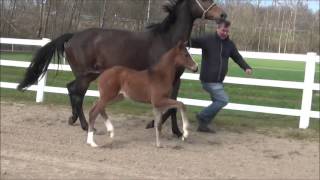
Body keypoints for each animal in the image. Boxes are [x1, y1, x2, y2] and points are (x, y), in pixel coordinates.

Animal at [17, 0, 226, 136]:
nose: (223, 15)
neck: (167, 40)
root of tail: (72, 36)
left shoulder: (176, 80)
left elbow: (173, 105)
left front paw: (175, 131)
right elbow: (170, 105)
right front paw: (154, 125)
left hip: (88, 74)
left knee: (72, 89)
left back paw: (74, 119)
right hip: (85, 75)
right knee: (77, 93)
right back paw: (86, 126)